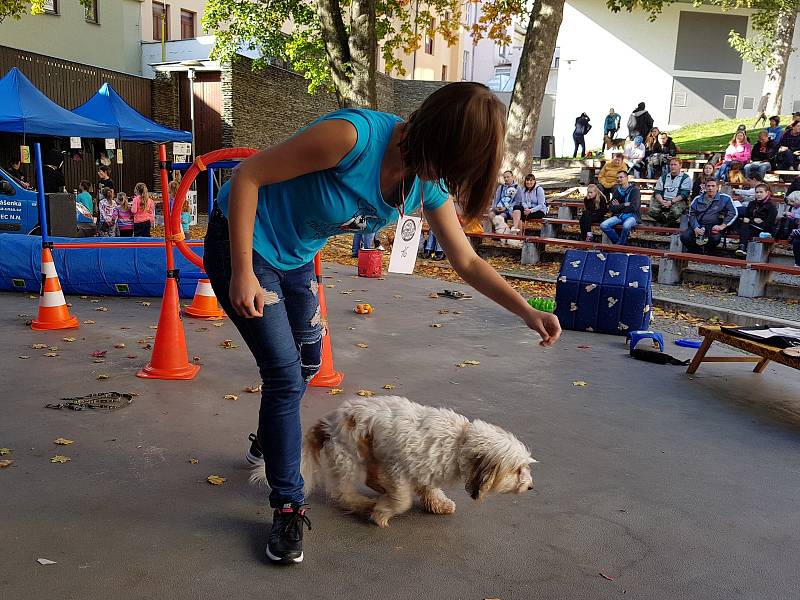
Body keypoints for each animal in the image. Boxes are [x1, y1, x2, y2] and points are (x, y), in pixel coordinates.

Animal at [250, 396, 536, 528]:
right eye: (517, 469)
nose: (530, 486)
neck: (459, 442)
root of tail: (327, 422)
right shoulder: (398, 470)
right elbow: (402, 500)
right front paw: (382, 513)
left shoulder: (423, 470)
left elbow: (428, 489)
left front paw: (438, 504)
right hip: (349, 458)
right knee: (344, 493)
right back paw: (366, 504)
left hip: (371, 454)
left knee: (369, 479)